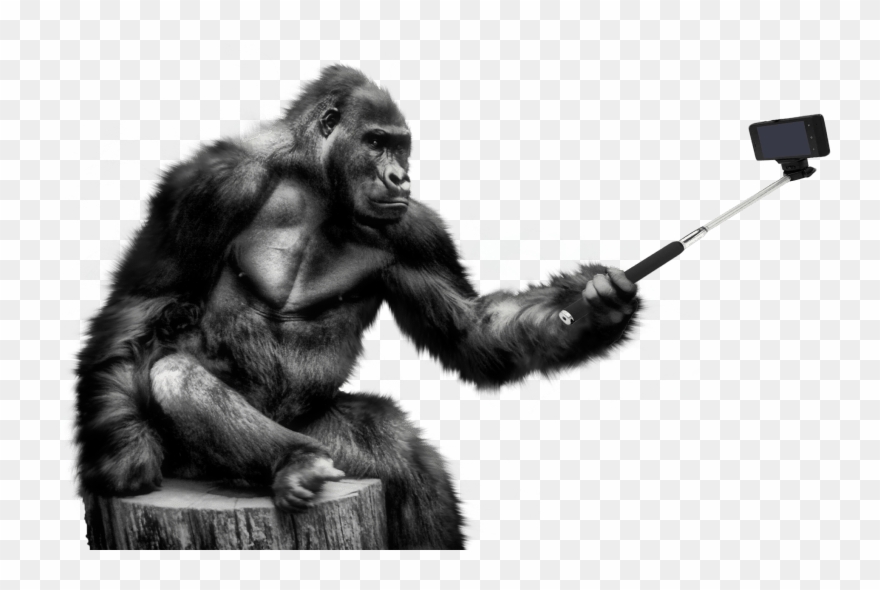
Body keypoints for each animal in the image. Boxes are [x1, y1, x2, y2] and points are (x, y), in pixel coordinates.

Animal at [75, 65, 641, 550]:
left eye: (401, 147)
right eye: (375, 142)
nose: (400, 178)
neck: (314, 180)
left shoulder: (417, 231)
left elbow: (469, 329)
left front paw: (600, 306)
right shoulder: (210, 184)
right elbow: (145, 305)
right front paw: (124, 450)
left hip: (333, 443)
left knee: (401, 457)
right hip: (202, 463)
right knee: (173, 372)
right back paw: (293, 461)